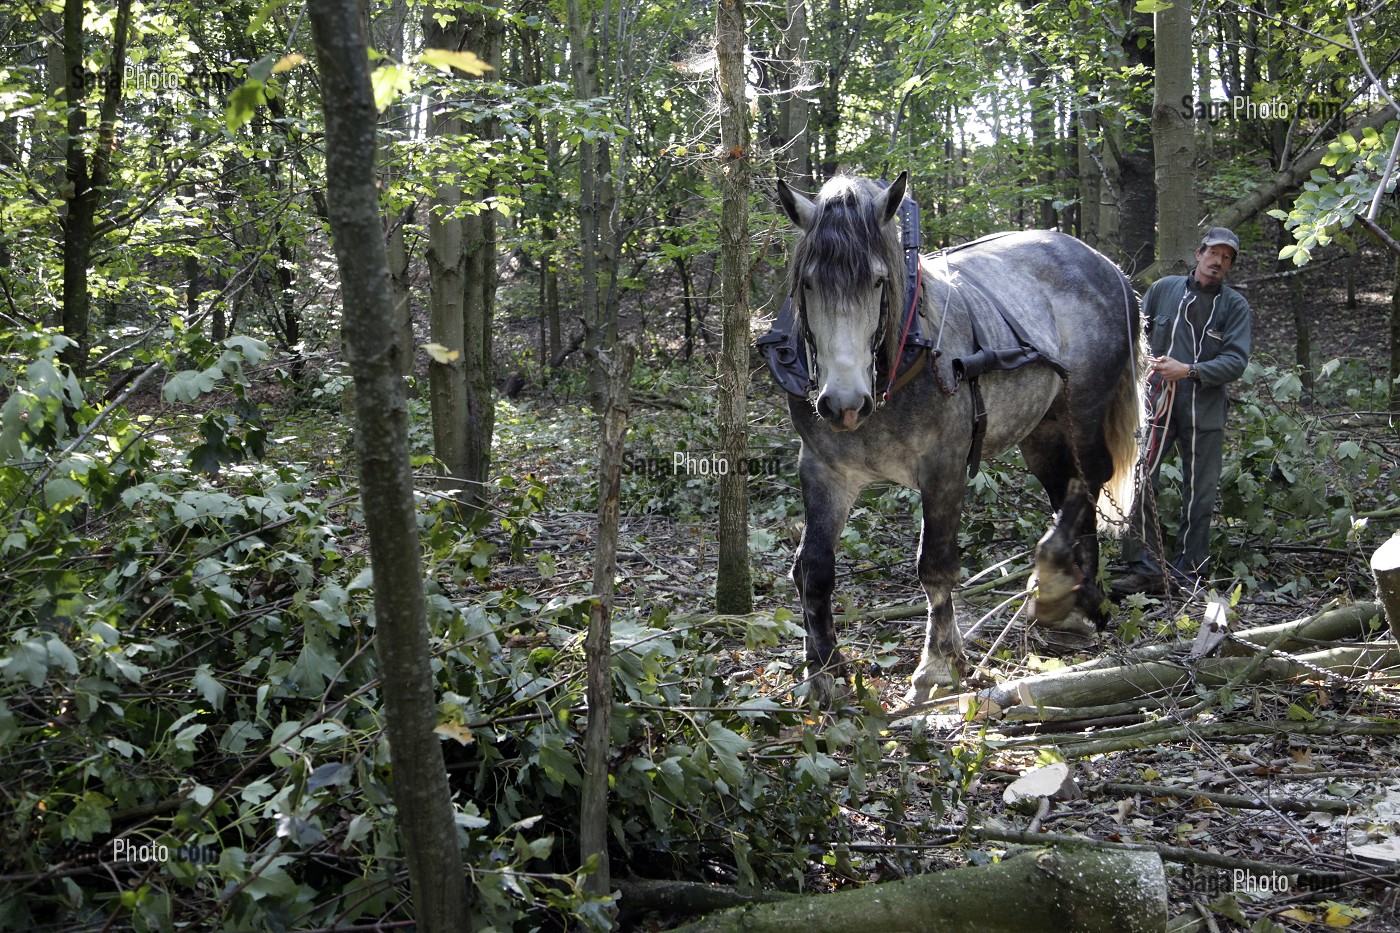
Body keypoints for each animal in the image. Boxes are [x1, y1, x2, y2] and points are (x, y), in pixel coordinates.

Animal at [770, 172, 1141, 705]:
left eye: (878, 281)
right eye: (808, 282)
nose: (843, 403)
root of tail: (1107, 267)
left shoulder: (943, 468)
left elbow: (935, 568)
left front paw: (938, 666)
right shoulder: (824, 469)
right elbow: (813, 570)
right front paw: (822, 673)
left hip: (1085, 410)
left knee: (1089, 482)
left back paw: (1065, 587)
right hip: (1043, 429)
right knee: (1065, 488)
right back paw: (1074, 599)